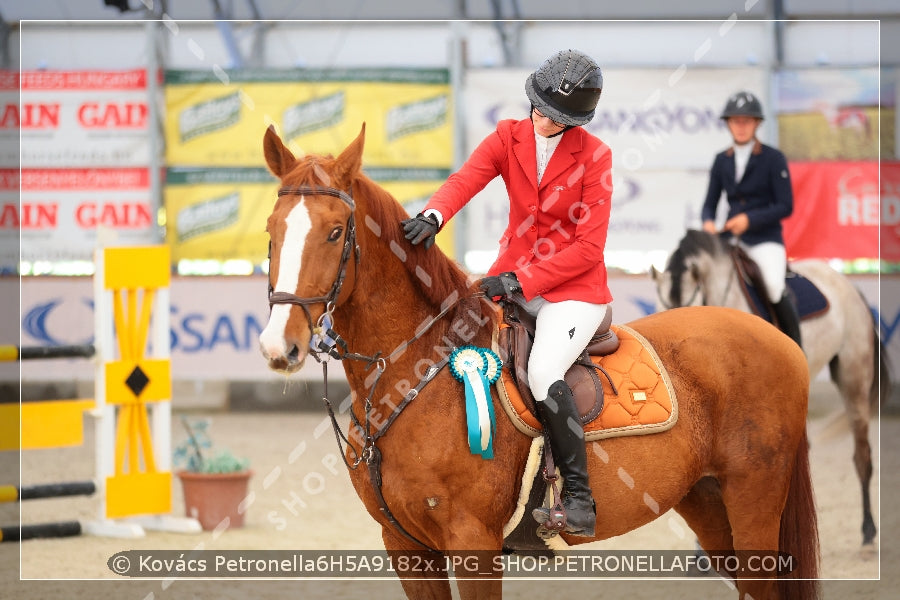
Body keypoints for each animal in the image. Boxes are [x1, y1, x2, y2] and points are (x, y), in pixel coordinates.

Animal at [256, 124, 820, 596]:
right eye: (271, 229)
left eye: (335, 233)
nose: (279, 347)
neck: (412, 376)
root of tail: (779, 339)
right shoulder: (406, 549)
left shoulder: (474, 545)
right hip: (707, 502)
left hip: (753, 502)